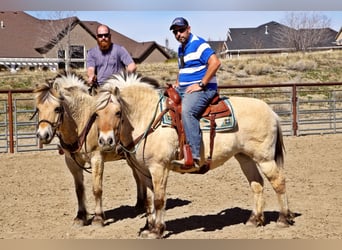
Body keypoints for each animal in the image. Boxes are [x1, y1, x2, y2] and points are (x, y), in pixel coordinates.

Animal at [34, 72, 150, 227]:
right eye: (38, 109)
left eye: (57, 108)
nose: (42, 135)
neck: (81, 122)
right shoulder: (71, 161)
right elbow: (79, 189)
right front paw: (80, 216)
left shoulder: (97, 158)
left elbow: (97, 189)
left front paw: (98, 217)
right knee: (138, 176)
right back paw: (140, 203)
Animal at [95, 72, 296, 238]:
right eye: (96, 114)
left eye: (117, 112)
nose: (106, 141)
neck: (148, 119)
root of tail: (271, 112)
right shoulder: (144, 171)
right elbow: (149, 201)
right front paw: (148, 228)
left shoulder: (159, 168)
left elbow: (159, 200)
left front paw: (157, 230)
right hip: (244, 157)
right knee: (257, 184)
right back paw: (254, 220)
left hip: (265, 158)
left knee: (278, 182)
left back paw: (283, 219)